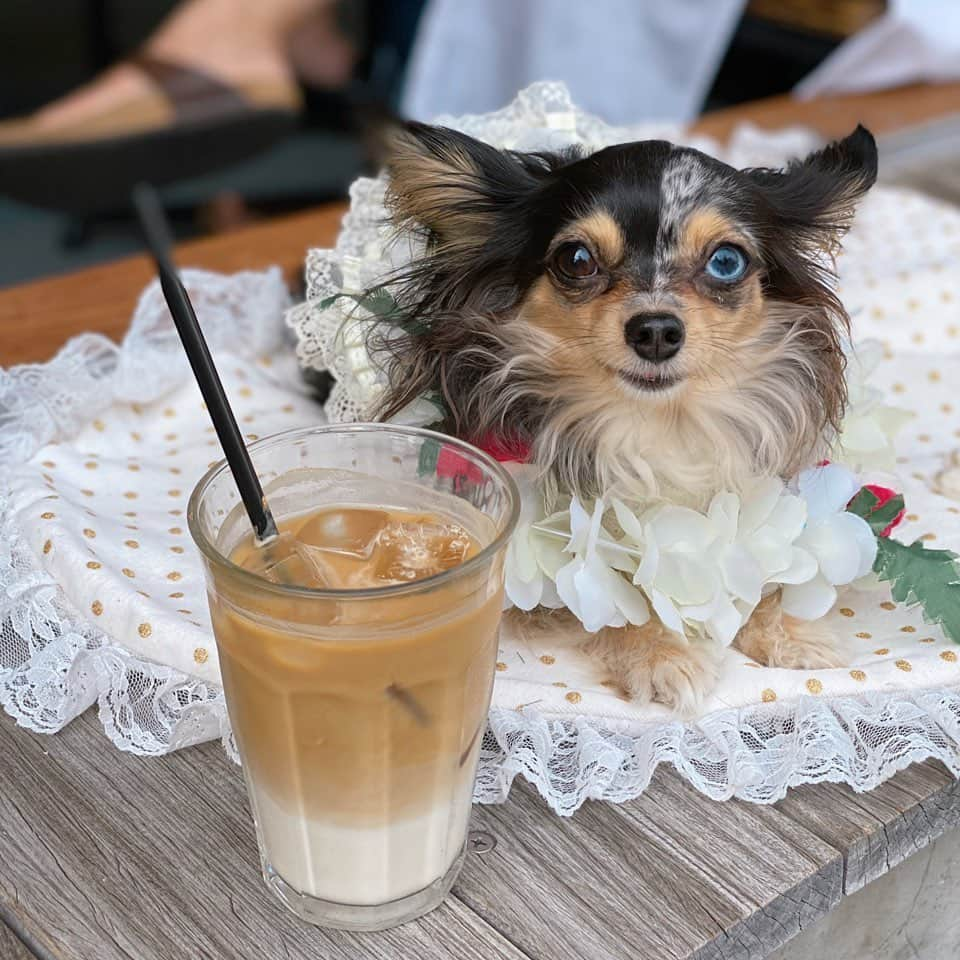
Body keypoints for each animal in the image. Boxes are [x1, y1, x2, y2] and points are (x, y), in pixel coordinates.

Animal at [368, 120, 876, 712]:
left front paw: (788, 628)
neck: (658, 426)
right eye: (576, 260)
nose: (655, 329)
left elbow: (759, 567)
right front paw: (660, 654)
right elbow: (606, 594)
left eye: (726, 261)